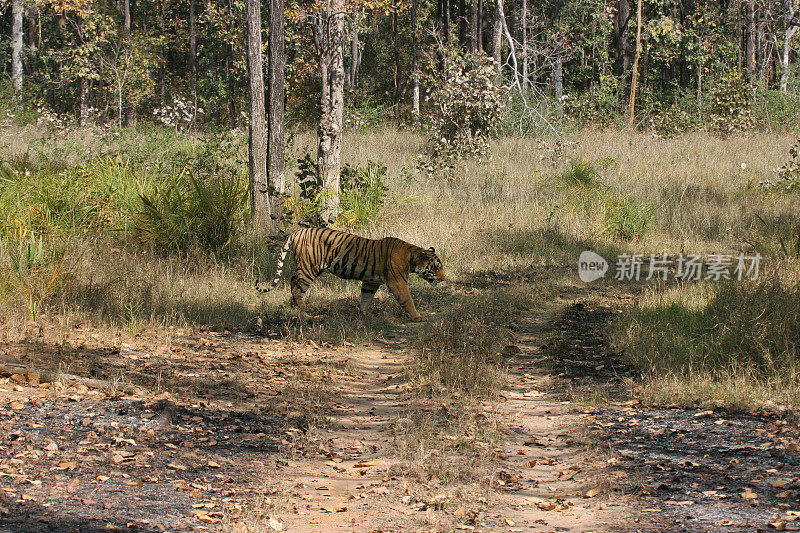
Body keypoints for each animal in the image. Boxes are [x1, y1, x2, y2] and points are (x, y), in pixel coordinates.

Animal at [255, 225, 444, 318]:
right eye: (436, 267)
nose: (443, 279)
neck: (412, 257)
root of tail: (296, 232)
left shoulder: (371, 282)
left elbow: (365, 298)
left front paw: (362, 315)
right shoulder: (397, 282)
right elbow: (407, 299)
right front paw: (417, 316)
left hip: (304, 267)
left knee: (292, 280)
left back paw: (293, 305)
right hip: (309, 268)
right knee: (296, 287)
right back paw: (304, 312)